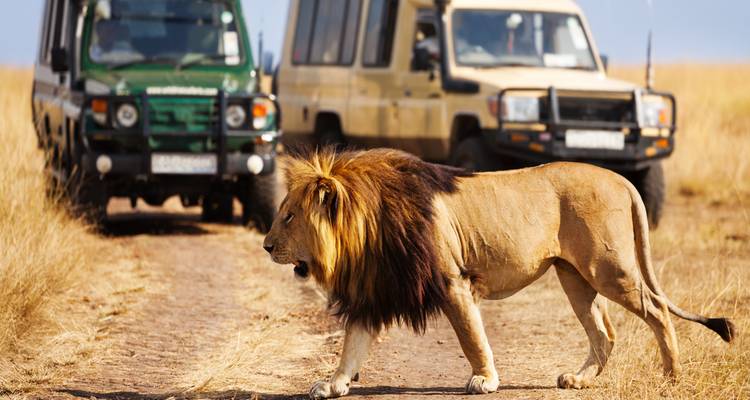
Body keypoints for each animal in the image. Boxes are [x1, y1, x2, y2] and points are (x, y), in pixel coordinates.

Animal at [263, 147, 735, 398]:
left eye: (288, 216)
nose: (266, 245)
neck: (367, 230)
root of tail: (621, 179)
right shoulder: (373, 292)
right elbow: (352, 346)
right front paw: (332, 384)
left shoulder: (453, 281)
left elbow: (472, 337)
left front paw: (485, 379)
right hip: (573, 276)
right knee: (605, 332)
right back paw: (578, 380)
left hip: (608, 267)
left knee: (657, 309)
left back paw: (671, 376)